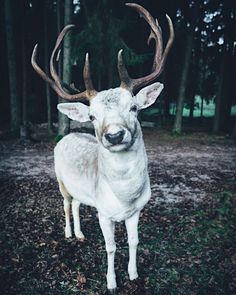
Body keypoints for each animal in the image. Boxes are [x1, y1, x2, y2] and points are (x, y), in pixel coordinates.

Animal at [31, 3, 173, 294]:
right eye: (93, 116)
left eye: (134, 107)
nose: (115, 135)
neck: (125, 197)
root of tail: (67, 136)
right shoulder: (104, 214)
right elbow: (110, 247)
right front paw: (111, 282)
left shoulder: (137, 211)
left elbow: (133, 241)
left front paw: (133, 275)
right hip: (60, 180)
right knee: (65, 204)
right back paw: (68, 233)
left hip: (81, 190)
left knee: (76, 204)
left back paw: (80, 234)